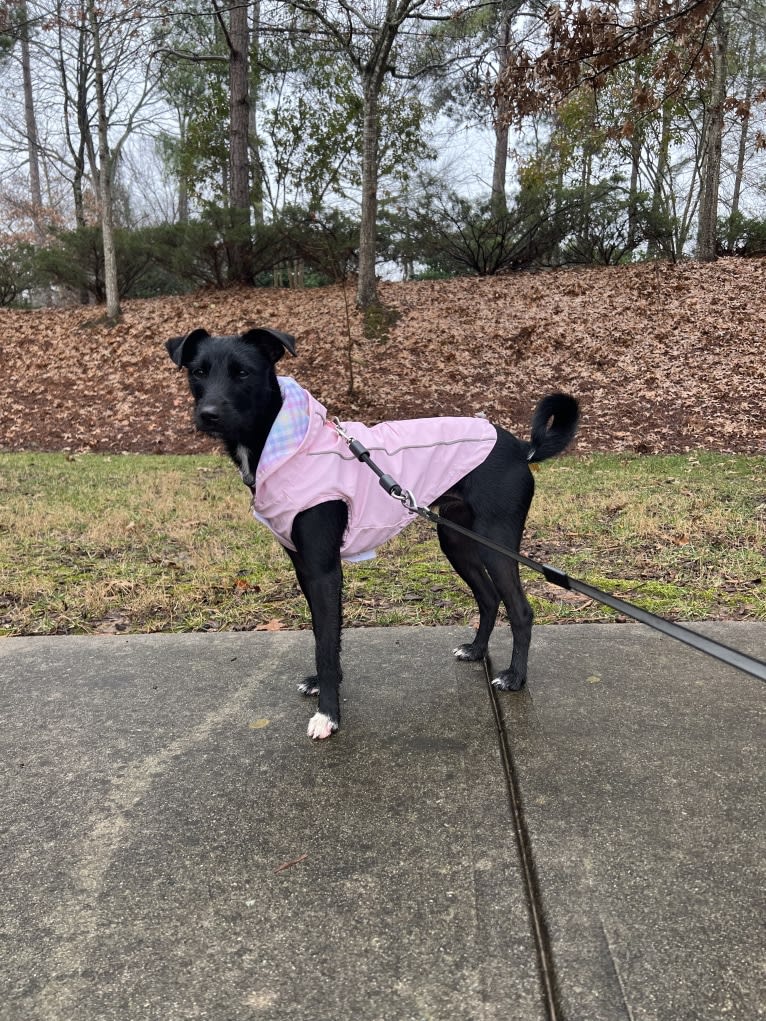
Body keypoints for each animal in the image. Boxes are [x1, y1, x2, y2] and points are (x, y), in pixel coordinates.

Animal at [165, 330, 580, 739]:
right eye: (198, 372)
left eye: (243, 373)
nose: (209, 414)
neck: (284, 442)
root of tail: (522, 448)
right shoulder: (305, 569)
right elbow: (324, 635)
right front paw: (324, 685)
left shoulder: (323, 571)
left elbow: (325, 642)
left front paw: (328, 715)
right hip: (456, 539)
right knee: (490, 597)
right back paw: (477, 651)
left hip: (497, 542)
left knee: (520, 609)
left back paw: (515, 677)